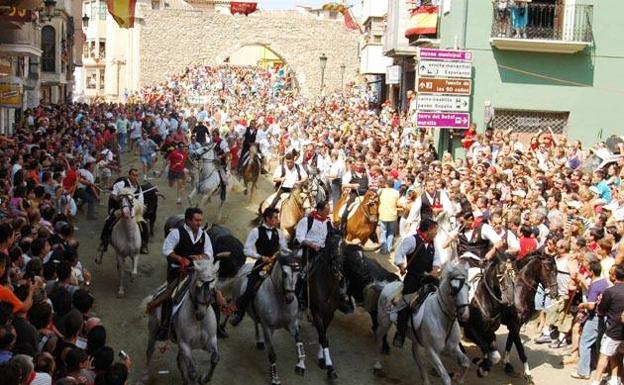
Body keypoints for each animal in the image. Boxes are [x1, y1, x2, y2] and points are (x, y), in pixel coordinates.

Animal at [230, 254, 306, 382]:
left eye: (298, 274)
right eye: (284, 273)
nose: (290, 298)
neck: (280, 301)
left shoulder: (292, 324)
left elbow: (300, 343)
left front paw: (301, 365)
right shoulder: (267, 327)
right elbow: (272, 354)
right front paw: (275, 377)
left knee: (256, 321)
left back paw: (260, 341)